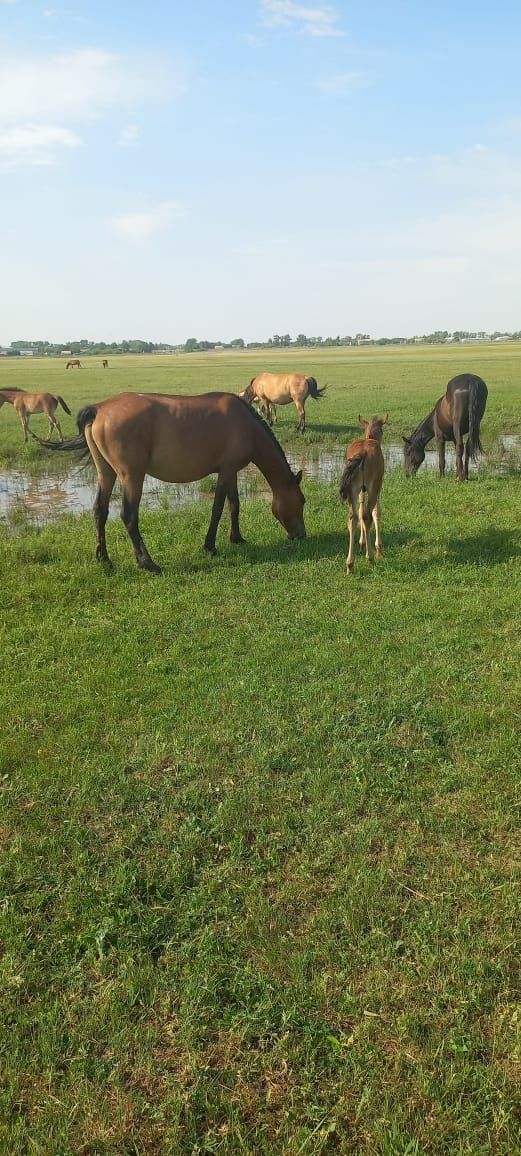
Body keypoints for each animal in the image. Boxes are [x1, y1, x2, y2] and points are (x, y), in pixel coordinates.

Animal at [38, 390, 307, 571]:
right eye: (302, 502)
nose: (301, 536)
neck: (245, 424)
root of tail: (99, 409)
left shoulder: (229, 472)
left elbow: (234, 505)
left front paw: (237, 538)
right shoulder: (227, 471)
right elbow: (218, 508)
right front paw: (210, 545)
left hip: (106, 473)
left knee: (100, 511)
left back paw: (104, 558)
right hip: (132, 476)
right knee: (129, 516)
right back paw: (147, 563)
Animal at [339, 416, 390, 578]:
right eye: (382, 430)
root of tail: (362, 454)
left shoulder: (361, 490)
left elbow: (361, 511)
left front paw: (361, 543)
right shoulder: (376, 486)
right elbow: (376, 512)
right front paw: (378, 549)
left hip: (352, 489)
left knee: (353, 517)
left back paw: (350, 564)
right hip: (373, 487)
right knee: (368, 516)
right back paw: (370, 557)